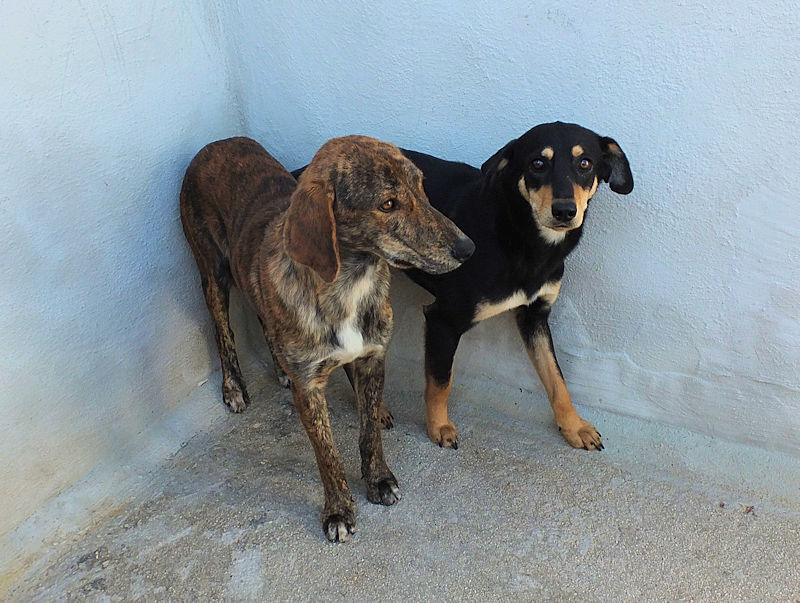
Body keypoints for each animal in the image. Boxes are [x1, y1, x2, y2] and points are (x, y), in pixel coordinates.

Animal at [180, 136, 474, 542]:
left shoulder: (373, 358)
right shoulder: (309, 391)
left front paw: (379, 479)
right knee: (222, 329)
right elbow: (327, 454)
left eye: (421, 186)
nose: (468, 248)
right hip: (212, 272)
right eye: (387, 204)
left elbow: (369, 433)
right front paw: (337, 510)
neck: (349, 281)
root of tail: (218, 141)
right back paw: (234, 386)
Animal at [398, 122, 634, 450]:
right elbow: (440, 382)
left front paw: (574, 426)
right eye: (537, 164)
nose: (565, 211)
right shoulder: (443, 319)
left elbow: (557, 379)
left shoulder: (534, 316)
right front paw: (439, 426)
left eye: (585, 163)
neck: (523, 240)